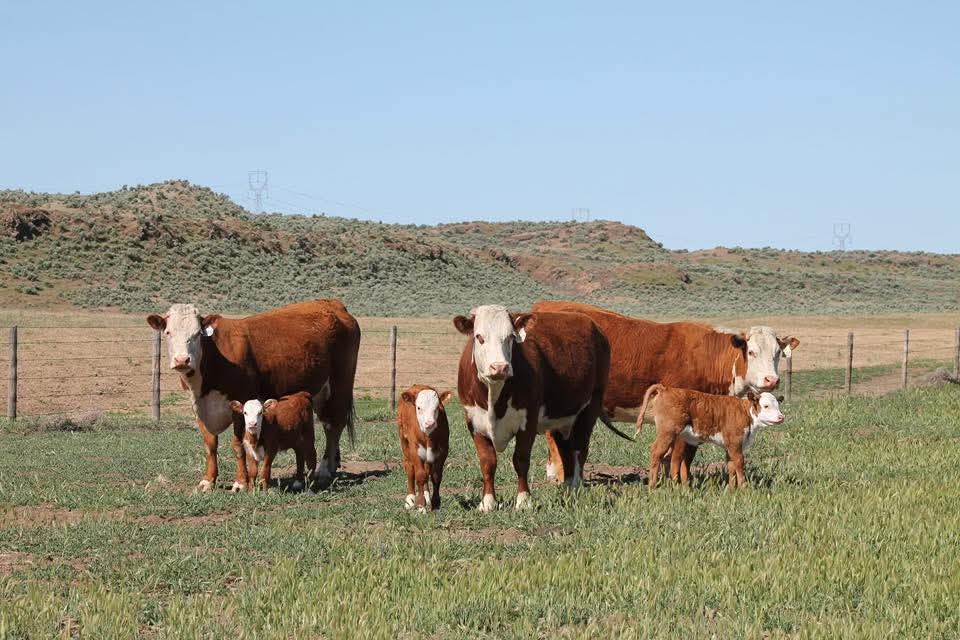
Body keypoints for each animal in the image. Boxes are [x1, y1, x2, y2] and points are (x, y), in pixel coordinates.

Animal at [146, 299, 360, 492]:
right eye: (168, 333)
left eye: (197, 334)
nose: (182, 360)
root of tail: (333, 304)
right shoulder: (199, 406)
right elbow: (210, 445)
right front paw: (208, 481)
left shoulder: (239, 404)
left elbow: (238, 445)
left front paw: (240, 482)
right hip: (319, 393)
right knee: (327, 425)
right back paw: (331, 466)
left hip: (340, 385)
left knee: (333, 425)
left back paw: (324, 469)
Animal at [454, 305, 611, 512]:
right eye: (479, 337)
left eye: (511, 337)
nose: (500, 367)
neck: (494, 397)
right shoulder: (474, 423)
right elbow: (487, 462)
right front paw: (488, 502)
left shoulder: (528, 421)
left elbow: (520, 460)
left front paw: (523, 500)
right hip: (560, 418)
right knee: (565, 450)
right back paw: (567, 488)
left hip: (590, 407)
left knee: (579, 449)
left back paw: (576, 487)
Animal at [637, 385, 785, 489]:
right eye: (766, 406)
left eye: (778, 405)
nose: (781, 417)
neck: (745, 413)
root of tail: (666, 388)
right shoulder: (735, 443)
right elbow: (739, 463)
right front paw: (743, 488)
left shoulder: (730, 446)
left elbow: (731, 466)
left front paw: (732, 489)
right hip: (667, 433)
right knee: (657, 452)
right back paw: (652, 486)